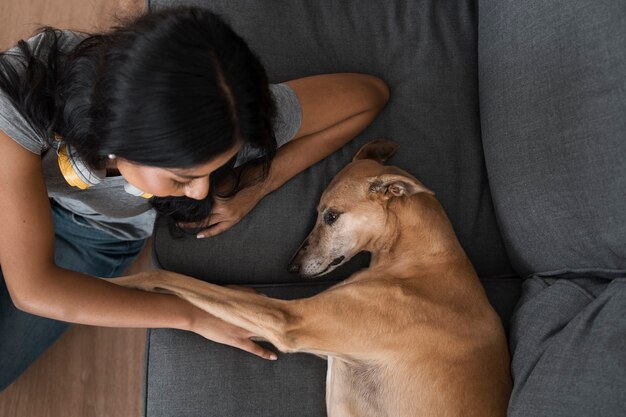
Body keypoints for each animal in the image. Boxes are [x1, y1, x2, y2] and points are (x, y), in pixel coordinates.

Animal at [114, 141, 510, 416]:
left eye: (331, 216)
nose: (291, 268)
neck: (419, 258)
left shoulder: (291, 320)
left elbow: (173, 276)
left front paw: (118, 285)